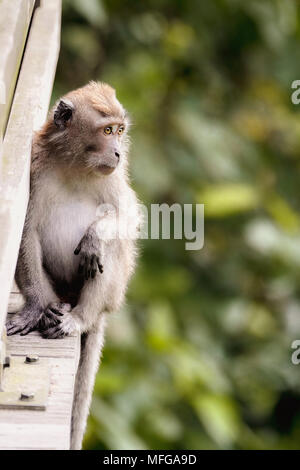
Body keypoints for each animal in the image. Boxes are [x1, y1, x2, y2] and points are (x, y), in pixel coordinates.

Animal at [4, 82, 141, 450]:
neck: (76, 163)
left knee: (110, 251)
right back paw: (48, 307)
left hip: (112, 293)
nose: (117, 152)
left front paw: (95, 235)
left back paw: (80, 317)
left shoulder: (114, 178)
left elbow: (127, 217)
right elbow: (27, 231)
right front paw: (35, 309)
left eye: (120, 131)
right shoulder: (37, 166)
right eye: (106, 131)